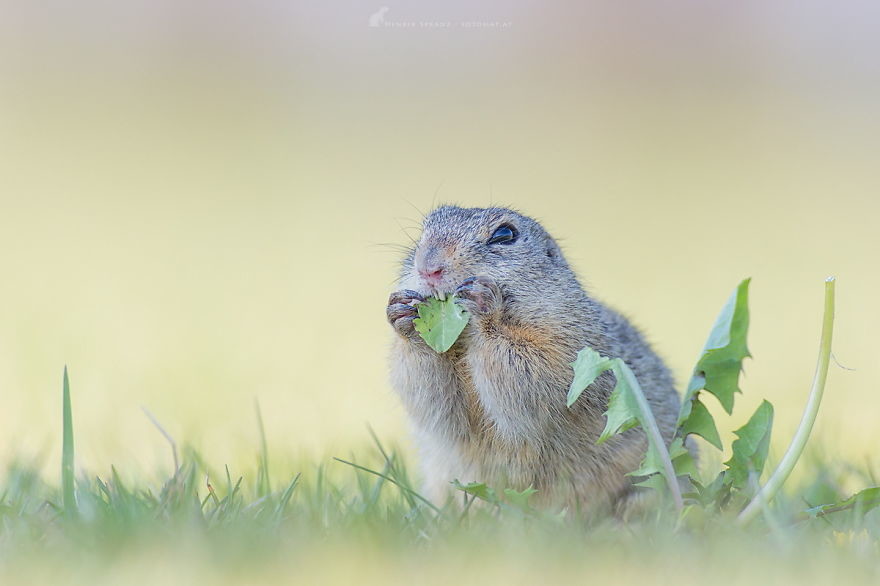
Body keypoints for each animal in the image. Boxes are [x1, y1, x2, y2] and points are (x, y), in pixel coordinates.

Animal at [384, 206, 680, 512]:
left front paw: (484, 305)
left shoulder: (567, 347)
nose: (428, 266)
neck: (465, 343)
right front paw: (402, 313)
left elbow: (534, 375)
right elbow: (435, 405)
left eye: (505, 235)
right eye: (423, 230)